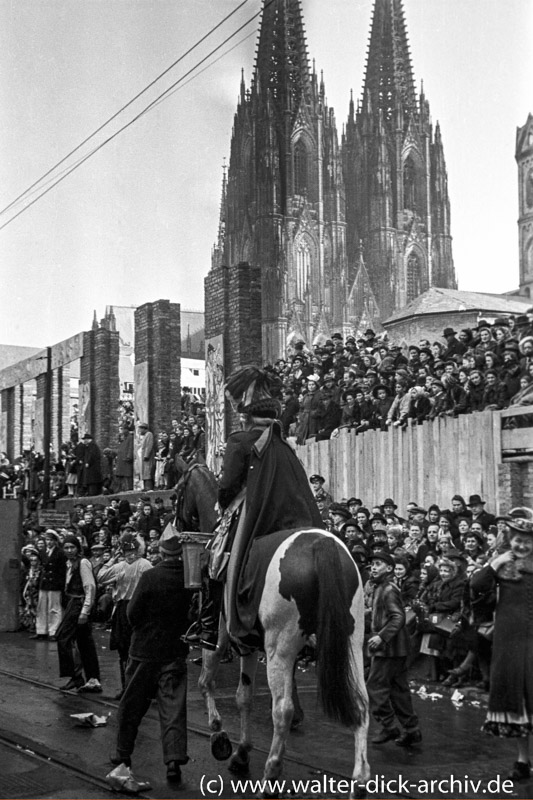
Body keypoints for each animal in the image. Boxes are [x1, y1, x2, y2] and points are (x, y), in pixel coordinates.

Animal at [175, 460, 370, 796]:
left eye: (177, 491)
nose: (175, 526)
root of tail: (322, 547)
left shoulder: (223, 635)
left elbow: (206, 682)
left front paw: (220, 737)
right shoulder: (249, 643)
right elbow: (243, 696)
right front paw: (241, 752)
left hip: (280, 647)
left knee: (282, 710)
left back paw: (271, 774)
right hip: (351, 642)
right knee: (361, 703)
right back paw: (359, 781)